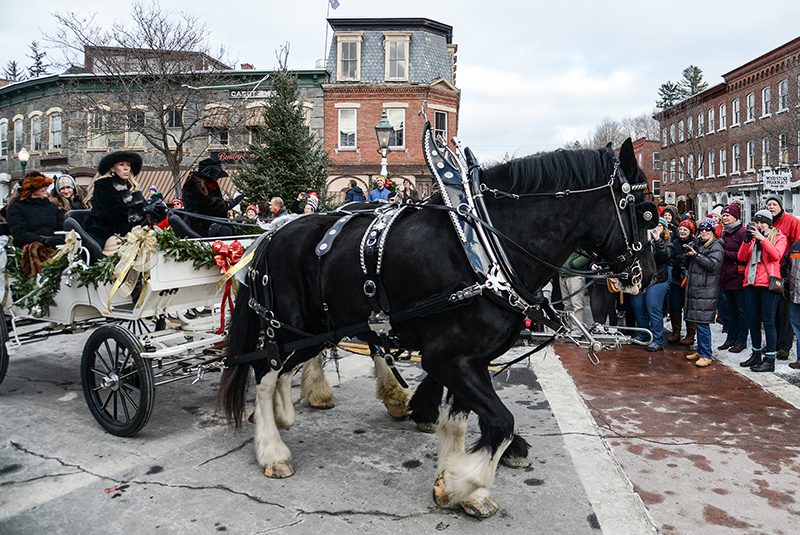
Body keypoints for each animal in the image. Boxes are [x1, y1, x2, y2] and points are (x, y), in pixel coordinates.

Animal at [219, 138, 656, 520]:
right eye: (643, 210)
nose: (647, 275)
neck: (486, 249)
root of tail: (274, 233)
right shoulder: (449, 359)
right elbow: (501, 421)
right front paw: (463, 483)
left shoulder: (471, 360)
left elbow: (462, 422)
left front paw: (461, 485)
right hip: (291, 327)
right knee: (264, 372)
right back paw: (273, 449)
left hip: (319, 329)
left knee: (287, 369)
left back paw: (285, 416)